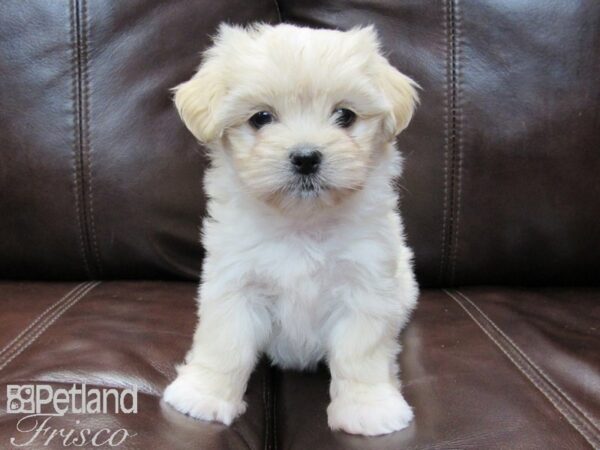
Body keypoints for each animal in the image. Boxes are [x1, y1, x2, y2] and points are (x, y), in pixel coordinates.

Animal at [162, 22, 420, 436]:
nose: (306, 157)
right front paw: (203, 394)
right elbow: (225, 344)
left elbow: (359, 355)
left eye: (345, 115)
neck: (302, 222)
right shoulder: (236, 284)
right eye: (261, 118)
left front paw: (368, 408)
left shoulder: (365, 289)